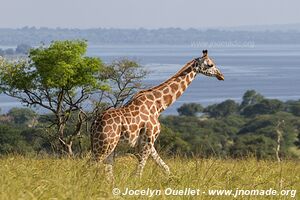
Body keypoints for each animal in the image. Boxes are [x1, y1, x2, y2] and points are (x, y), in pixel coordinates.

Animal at [91, 49, 225, 180]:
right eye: (210, 64)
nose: (221, 75)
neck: (158, 105)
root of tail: (94, 124)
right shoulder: (148, 140)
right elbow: (139, 172)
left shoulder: (148, 142)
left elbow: (165, 167)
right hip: (105, 144)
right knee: (92, 166)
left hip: (107, 146)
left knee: (107, 171)